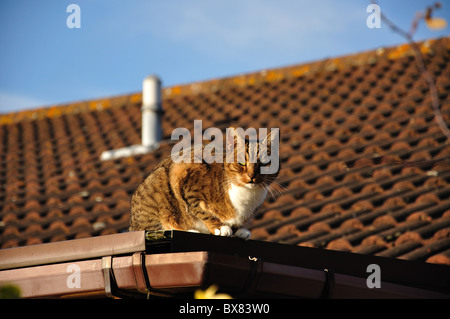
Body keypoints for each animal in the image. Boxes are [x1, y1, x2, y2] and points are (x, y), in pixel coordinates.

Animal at [128, 127, 280, 240]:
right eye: (242, 162)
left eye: (265, 163)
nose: (251, 176)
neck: (246, 196)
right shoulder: (184, 176)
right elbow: (200, 209)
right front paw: (219, 227)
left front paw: (239, 230)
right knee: (154, 228)